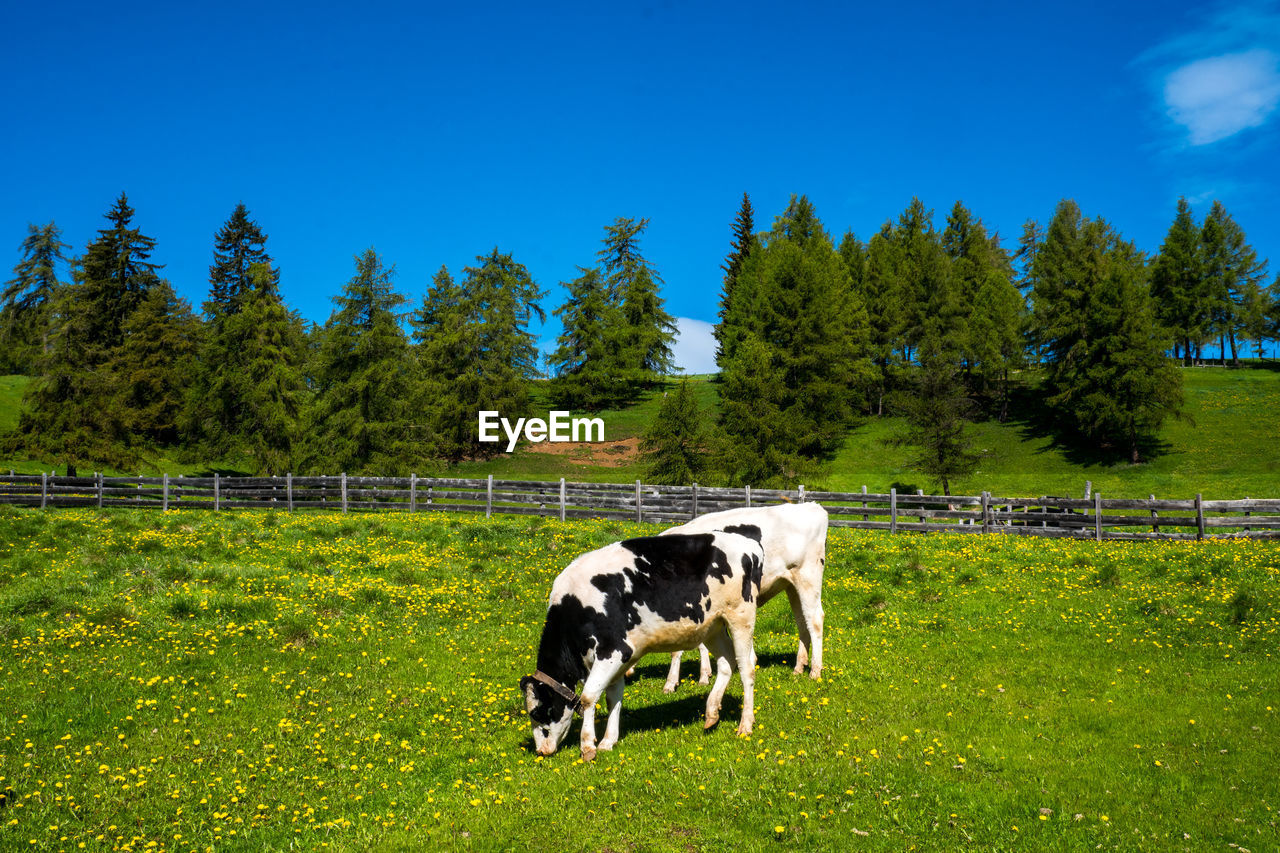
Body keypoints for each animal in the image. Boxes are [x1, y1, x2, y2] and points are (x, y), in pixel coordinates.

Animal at [517, 527, 757, 758]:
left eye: (539, 711)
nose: (542, 751)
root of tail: (746, 543)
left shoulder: (613, 651)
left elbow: (588, 697)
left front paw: (587, 746)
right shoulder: (617, 659)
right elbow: (612, 698)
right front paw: (607, 741)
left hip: (741, 617)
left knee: (746, 668)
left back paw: (745, 725)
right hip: (712, 627)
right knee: (726, 663)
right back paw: (711, 713)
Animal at [660, 499, 829, 691]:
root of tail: (811, 506)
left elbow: (678, 649)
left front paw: (671, 682)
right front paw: (705, 675)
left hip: (808, 577)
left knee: (815, 619)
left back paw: (815, 671)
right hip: (792, 584)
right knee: (802, 621)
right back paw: (799, 667)